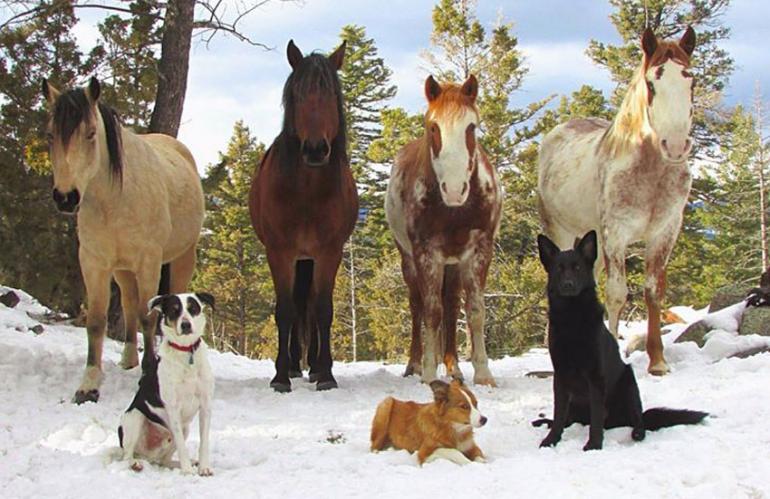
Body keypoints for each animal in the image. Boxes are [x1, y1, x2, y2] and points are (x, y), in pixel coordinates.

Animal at [42, 77, 204, 403]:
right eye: (51, 134)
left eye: (91, 133)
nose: (66, 197)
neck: (115, 197)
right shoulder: (95, 263)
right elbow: (96, 321)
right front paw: (89, 385)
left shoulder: (149, 262)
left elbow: (148, 316)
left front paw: (150, 370)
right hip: (122, 270)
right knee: (128, 304)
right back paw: (129, 359)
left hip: (182, 258)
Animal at [249, 40, 357, 393]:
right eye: (296, 94)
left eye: (331, 94)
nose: (314, 149)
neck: (307, 193)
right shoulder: (279, 252)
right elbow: (285, 310)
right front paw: (281, 376)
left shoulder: (329, 252)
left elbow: (323, 310)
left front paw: (325, 374)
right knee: (297, 305)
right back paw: (296, 366)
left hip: (308, 259)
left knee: (308, 304)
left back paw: (312, 366)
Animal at [385, 75, 503, 387]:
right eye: (433, 127)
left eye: (471, 127)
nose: (454, 189)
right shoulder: (427, 254)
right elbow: (431, 311)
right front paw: (427, 371)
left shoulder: (478, 251)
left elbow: (474, 310)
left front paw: (483, 373)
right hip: (409, 260)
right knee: (417, 305)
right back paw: (415, 364)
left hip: (454, 262)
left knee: (451, 303)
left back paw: (453, 366)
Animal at [537, 27, 697, 376]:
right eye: (652, 84)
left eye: (690, 80)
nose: (676, 146)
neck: (650, 172)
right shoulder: (616, 234)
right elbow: (616, 295)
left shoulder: (665, 231)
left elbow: (653, 292)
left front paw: (658, 361)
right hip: (562, 232)